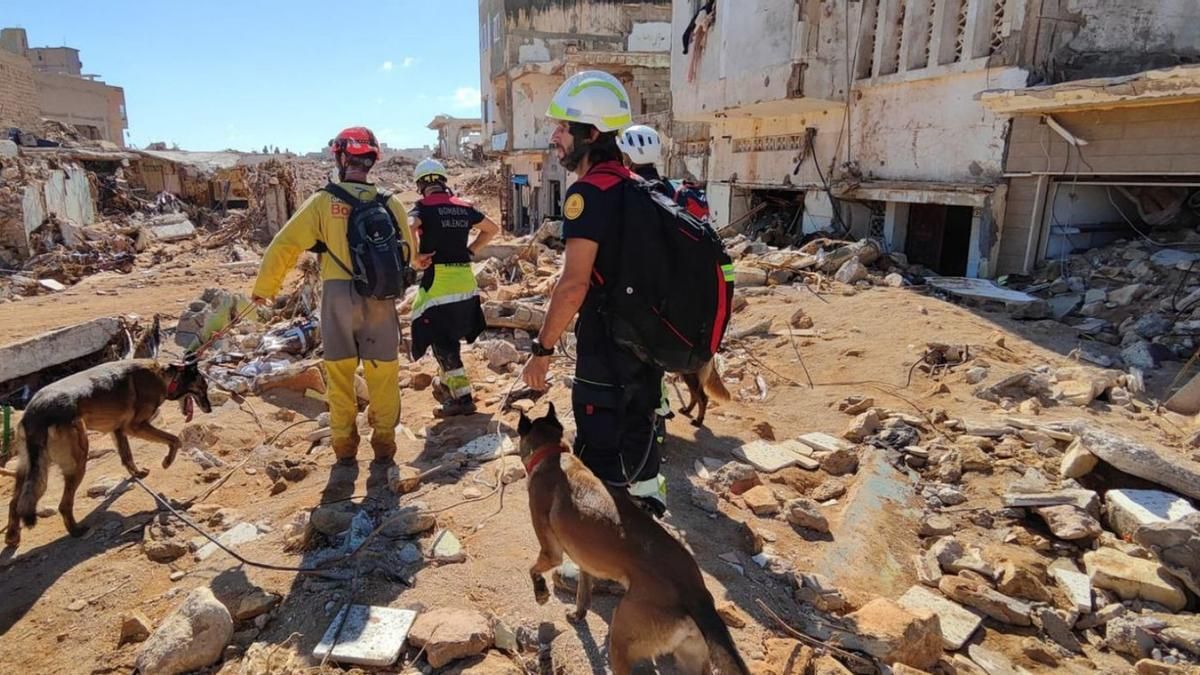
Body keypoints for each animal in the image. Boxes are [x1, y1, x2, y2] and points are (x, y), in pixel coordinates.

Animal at [5, 357, 211, 547]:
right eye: (204, 387)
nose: (209, 409)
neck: (165, 374)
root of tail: (35, 413)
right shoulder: (135, 427)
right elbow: (174, 439)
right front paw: (167, 461)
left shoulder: (119, 430)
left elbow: (127, 456)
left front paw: (137, 473)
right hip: (78, 460)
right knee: (64, 505)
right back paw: (76, 530)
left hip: (28, 469)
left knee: (15, 503)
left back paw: (12, 536)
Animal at [518, 401, 748, 667]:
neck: (553, 454)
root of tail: (696, 595)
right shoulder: (585, 563)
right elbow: (583, 595)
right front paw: (578, 614)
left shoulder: (551, 552)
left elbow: (533, 569)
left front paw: (540, 593)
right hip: (692, 658)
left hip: (621, 637)